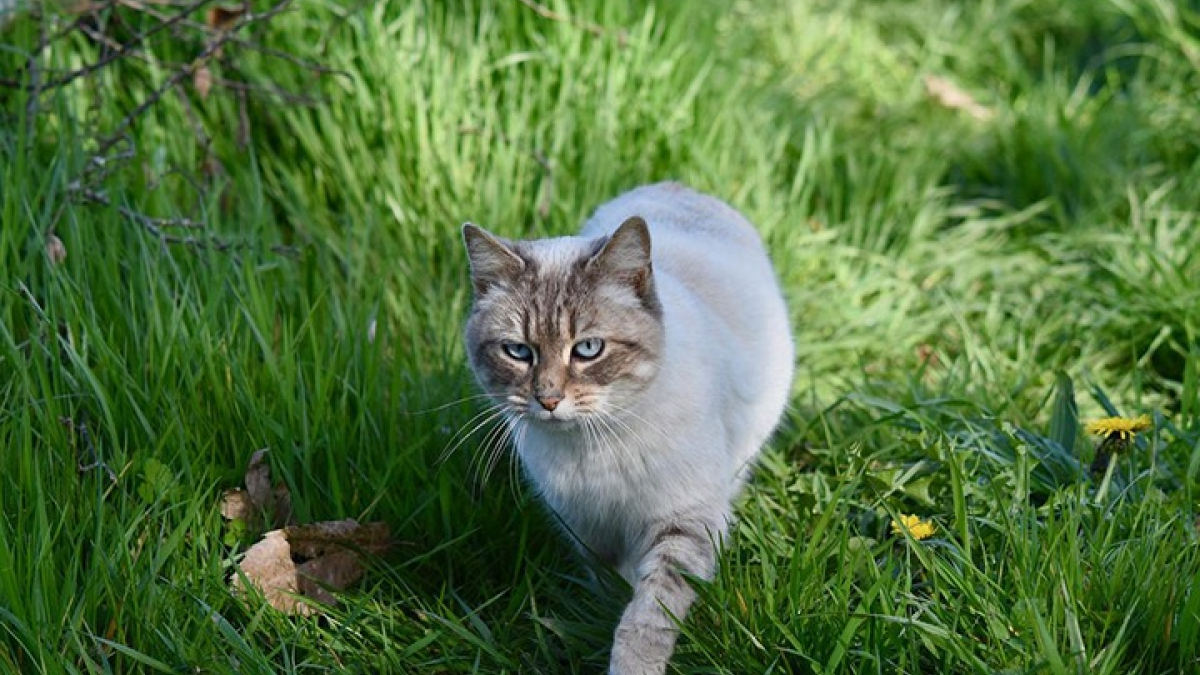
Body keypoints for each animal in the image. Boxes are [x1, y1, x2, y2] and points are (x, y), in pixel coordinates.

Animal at [463, 181, 792, 672]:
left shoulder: (682, 521)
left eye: (588, 349)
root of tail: (678, 186)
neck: (592, 447)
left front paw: (630, 664)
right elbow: (609, 582)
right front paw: (602, 612)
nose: (548, 400)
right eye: (518, 352)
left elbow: (647, 613)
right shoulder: (585, 524)